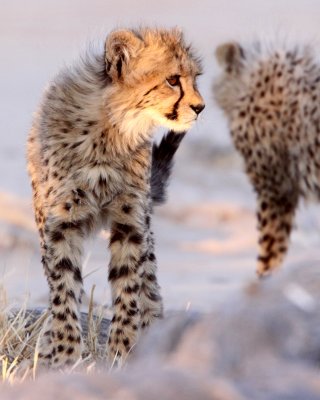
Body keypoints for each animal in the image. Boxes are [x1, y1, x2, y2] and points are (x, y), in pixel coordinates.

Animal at [26, 26, 204, 368]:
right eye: (173, 80)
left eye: (195, 78)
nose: (199, 107)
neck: (113, 128)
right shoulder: (61, 223)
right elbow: (63, 288)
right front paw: (65, 356)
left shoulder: (130, 221)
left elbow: (128, 286)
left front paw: (123, 350)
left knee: (150, 285)